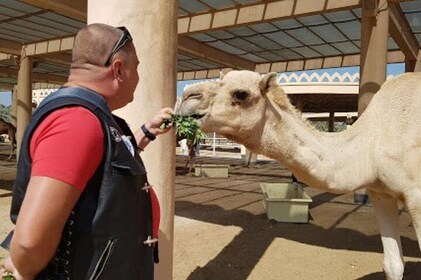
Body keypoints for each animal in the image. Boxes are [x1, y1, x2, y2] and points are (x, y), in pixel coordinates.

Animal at [179, 70, 420, 280]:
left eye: (241, 93)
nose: (187, 96)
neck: (373, 140)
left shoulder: (416, 196)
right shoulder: (381, 194)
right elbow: (393, 266)